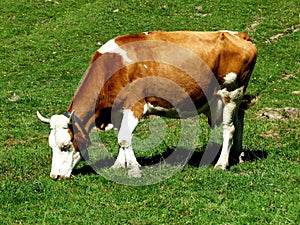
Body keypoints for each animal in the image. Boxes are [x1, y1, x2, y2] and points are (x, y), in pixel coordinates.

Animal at [37, 30, 256, 180]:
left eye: (65, 146)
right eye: (51, 146)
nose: (55, 176)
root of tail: (239, 35)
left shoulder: (134, 105)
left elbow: (124, 139)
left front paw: (134, 170)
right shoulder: (117, 111)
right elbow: (121, 138)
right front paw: (119, 165)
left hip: (230, 93)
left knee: (229, 128)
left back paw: (221, 163)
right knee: (240, 118)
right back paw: (237, 154)